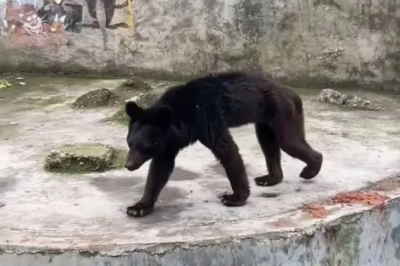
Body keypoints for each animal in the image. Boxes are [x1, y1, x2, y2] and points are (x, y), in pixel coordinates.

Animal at [123, 71, 324, 217]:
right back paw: (270, 178)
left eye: (145, 146)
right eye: (130, 143)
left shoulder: (206, 118)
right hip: (265, 120)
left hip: (282, 111)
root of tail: (294, 93)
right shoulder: (169, 142)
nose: (129, 165)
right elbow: (160, 168)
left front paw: (234, 198)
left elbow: (226, 150)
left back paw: (310, 169)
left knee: (290, 142)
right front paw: (137, 207)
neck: (182, 114)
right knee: (269, 143)